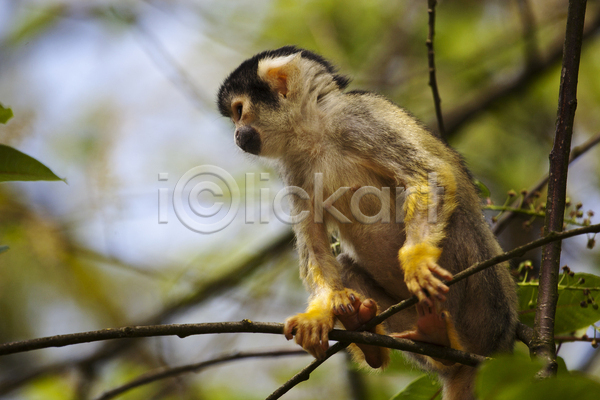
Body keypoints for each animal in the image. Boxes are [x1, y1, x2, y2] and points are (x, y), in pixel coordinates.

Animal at [218, 47, 516, 400]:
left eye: (239, 111)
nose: (237, 135)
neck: (315, 130)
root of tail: (485, 355)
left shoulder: (359, 118)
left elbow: (428, 176)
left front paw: (417, 261)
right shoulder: (293, 165)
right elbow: (313, 240)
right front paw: (318, 312)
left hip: (483, 299)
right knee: (347, 267)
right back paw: (391, 338)